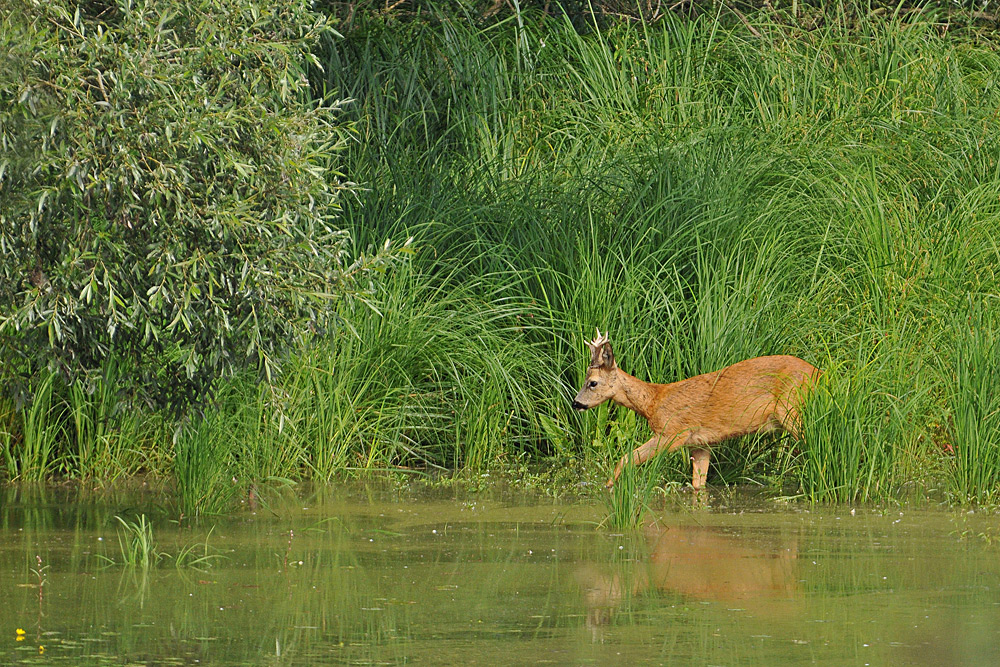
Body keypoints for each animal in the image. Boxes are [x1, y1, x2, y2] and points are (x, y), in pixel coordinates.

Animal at [572, 330, 820, 490]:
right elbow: (698, 485)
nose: (576, 403)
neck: (653, 402)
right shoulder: (700, 444)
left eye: (592, 382)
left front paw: (608, 486)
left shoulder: (672, 433)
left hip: (793, 411)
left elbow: (626, 458)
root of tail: (819, 372)